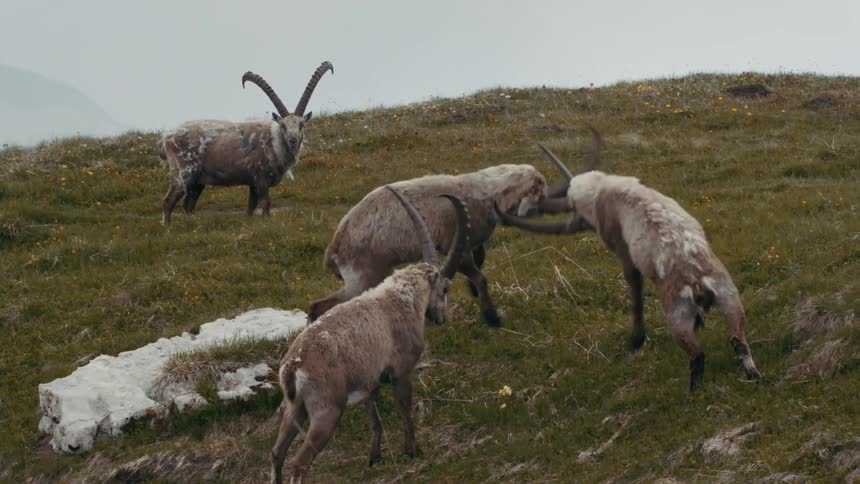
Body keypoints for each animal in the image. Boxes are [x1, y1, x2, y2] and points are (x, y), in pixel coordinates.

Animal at [159, 62, 333, 225]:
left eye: (301, 124)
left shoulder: (252, 183)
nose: (293, 140)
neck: (273, 143)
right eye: (283, 125)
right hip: (183, 173)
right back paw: (167, 227)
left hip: (197, 181)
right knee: (168, 201)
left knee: (188, 204)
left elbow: (250, 207)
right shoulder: (261, 179)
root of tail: (167, 138)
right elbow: (265, 203)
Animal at [270, 187, 470, 484]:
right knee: (299, 462)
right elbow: (404, 408)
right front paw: (412, 450)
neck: (401, 298)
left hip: (296, 409)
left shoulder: (370, 382)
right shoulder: (401, 370)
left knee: (277, 453)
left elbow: (375, 420)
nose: (441, 318)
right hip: (326, 410)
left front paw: (374, 458)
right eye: (445, 288)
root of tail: (293, 368)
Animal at [307, 129, 603, 325]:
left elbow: (479, 267)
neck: (480, 193)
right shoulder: (454, 246)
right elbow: (480, 276)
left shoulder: (471, 245)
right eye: (537, 193)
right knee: (320, 305)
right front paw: (493, 318)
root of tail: (334, 249)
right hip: (365, 276)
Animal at [495, 141, 762, 392]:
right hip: (731, 300)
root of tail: (697, 282)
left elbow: (635, 289)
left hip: (678, 316)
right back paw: (753, 376)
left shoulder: (623, 251)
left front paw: (635, 342)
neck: (603, 189)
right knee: (738, 340)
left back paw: (693, 390)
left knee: (698, 354)